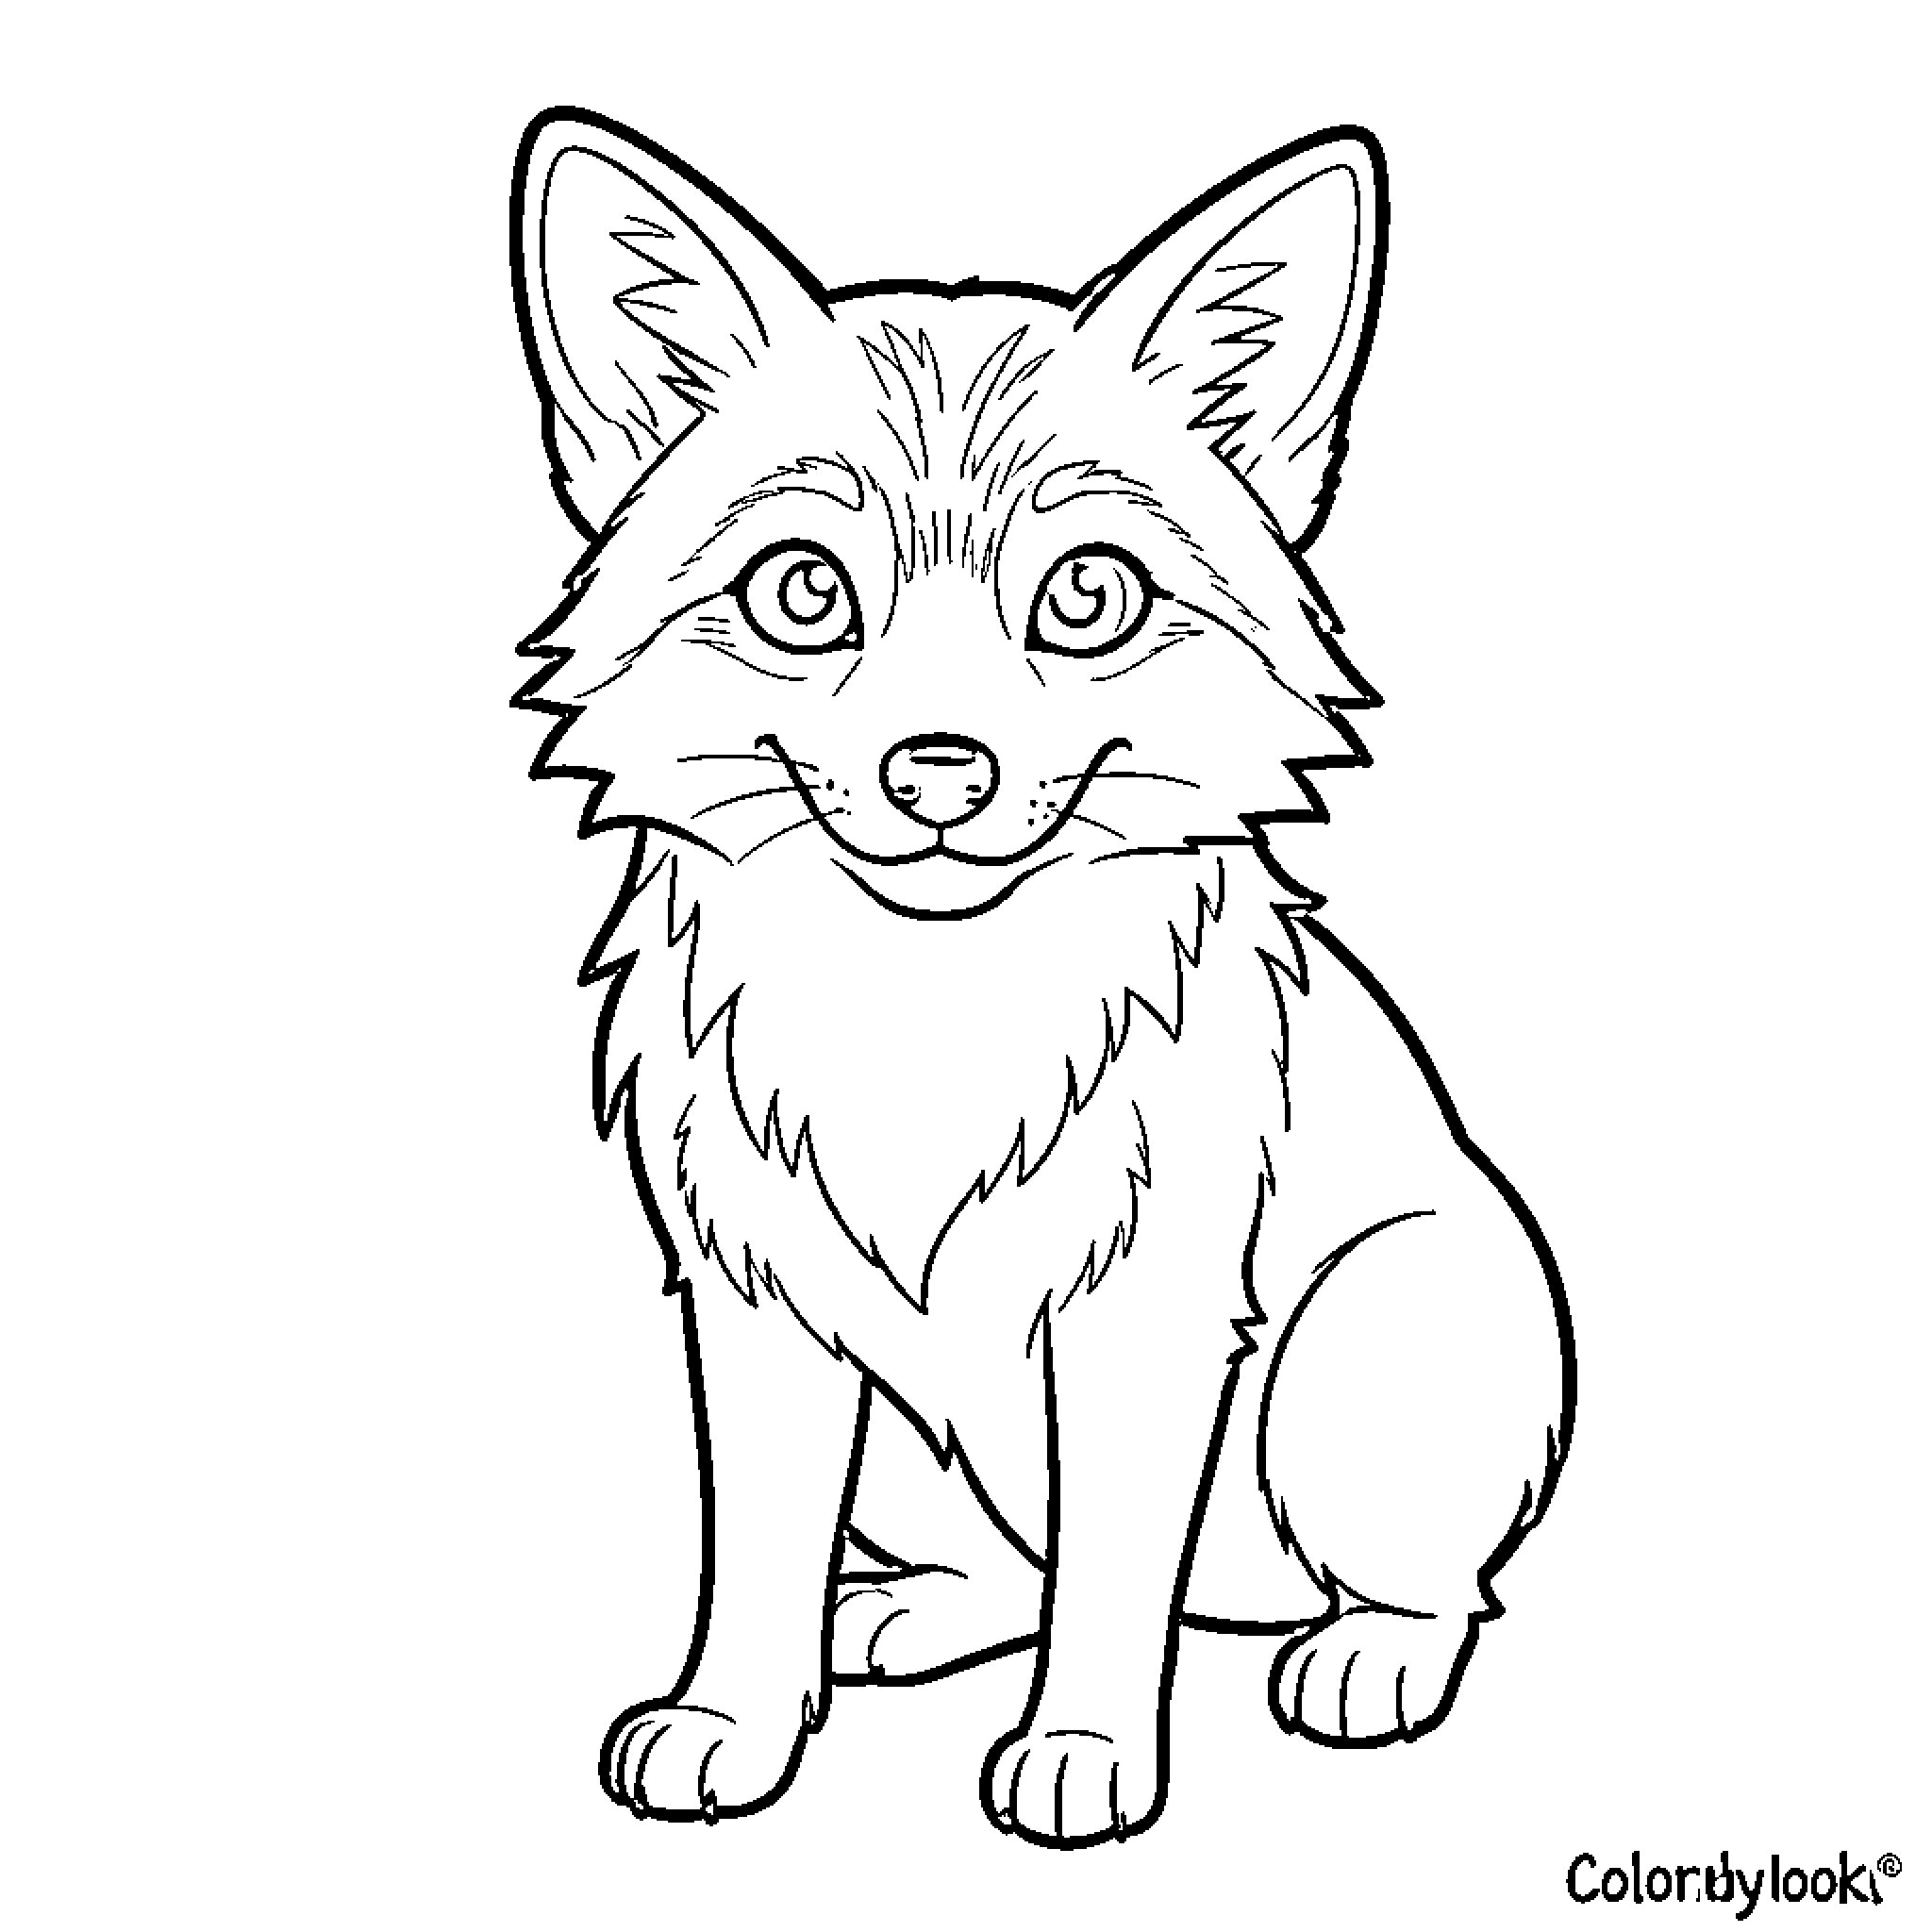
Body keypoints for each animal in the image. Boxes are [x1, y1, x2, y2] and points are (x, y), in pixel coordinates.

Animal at [507, 109, 1574, 1848]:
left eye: (1087, 595)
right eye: (802, 590)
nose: (939, 767)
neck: (925, 1017)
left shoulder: (1149, 1318)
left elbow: (1112, 1570)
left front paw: (1084, 1752)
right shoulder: (754, 1307)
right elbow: (756, 1556)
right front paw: (734, 1722)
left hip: (1361, 1339)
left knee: (1422, 1584)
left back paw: (1371, 1655)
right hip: (908, 1418)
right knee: (1007, 1559)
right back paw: (903, 1614)